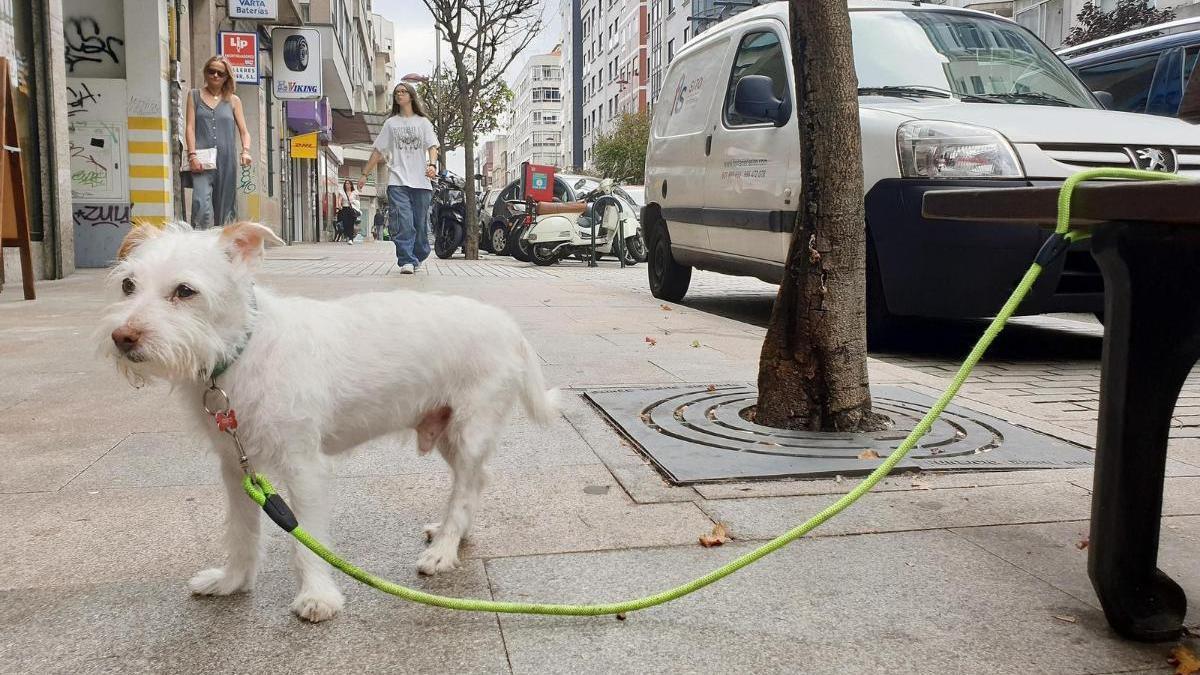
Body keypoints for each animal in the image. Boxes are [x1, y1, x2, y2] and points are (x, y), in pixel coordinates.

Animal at [97, 222, 556, 619]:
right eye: (128, 285)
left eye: (185, 291)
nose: (123, 337)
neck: (242, 349)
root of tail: (510, 327)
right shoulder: (237, 467)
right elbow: (241, 532)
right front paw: (232, 581)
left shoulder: (304, 467)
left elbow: (307, 538)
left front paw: (317, 596)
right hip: (446, 431)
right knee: (476, 479)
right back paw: (455, 533)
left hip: (469, 429)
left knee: (464, 487)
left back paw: (443, 549)